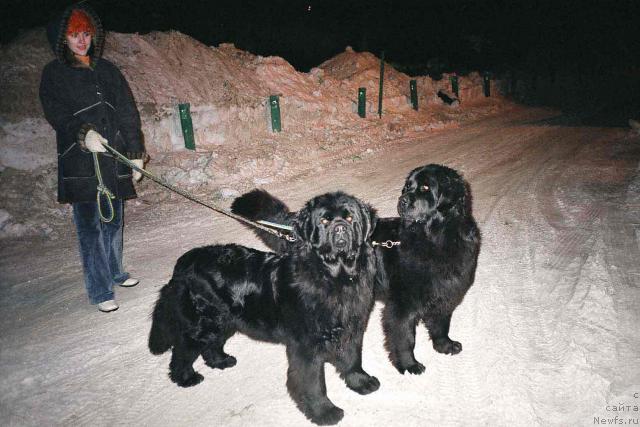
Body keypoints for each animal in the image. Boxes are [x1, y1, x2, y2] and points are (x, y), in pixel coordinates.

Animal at [150, 192, 380, 426]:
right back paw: (186, 377)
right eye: (324, 221)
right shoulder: (306, 346)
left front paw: (361, 382)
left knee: (210, 345)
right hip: (204, 323)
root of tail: (183, 263)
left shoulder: (351, 328)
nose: (341, 228)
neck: (335, 277)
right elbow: (313, 382)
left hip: (223, 320)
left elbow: (352, 358)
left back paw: (221, 361)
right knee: (182, 350)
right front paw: (324, 412)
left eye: (350, 218)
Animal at [234, 166, 480, 376]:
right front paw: (408, 364)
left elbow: (441, 322)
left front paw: (444, 345)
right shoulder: (402, 306)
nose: (402, 200)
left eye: (425, 188)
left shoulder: (447, 291)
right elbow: (405, 338)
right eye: (406, 188)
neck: (437, 239)